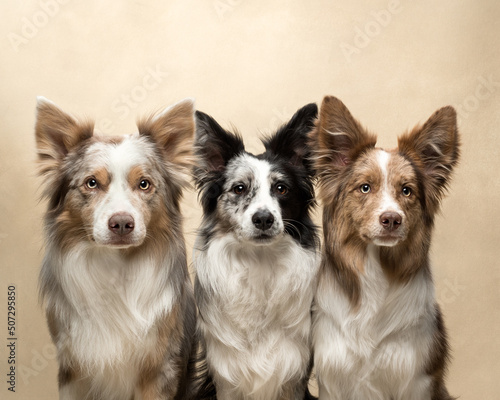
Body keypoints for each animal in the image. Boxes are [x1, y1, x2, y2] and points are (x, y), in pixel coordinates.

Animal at [33, 97, 195, 400]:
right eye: (91, 183)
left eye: (144, 184)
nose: (121, 223)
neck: (115, 267)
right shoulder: (73, 368)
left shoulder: (159, 367)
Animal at [193, 104, 318, 398]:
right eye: (239, 188)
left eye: (281, 188)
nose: (263, 219)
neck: (259, 262)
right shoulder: (226, 375)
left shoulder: (293, 372)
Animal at [308, 95, 460, 398]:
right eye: (365, 187)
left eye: (407, 191)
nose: (391, 219)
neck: (376, 269)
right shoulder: (333, 375)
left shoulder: (416, 378)